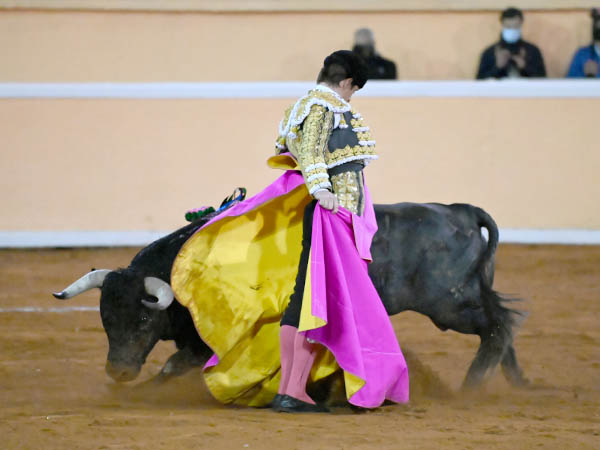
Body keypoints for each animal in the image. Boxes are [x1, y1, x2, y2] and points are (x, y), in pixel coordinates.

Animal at [54, 203, 528, 390]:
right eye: (105, 319)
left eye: (142, 319)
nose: (118, 372)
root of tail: (458, 210)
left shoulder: (211, 342)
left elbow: (172, 366)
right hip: (463, 298)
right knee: (501, 328)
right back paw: (516, 384)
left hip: (449, 303)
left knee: (497, 326)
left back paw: (472, 386)